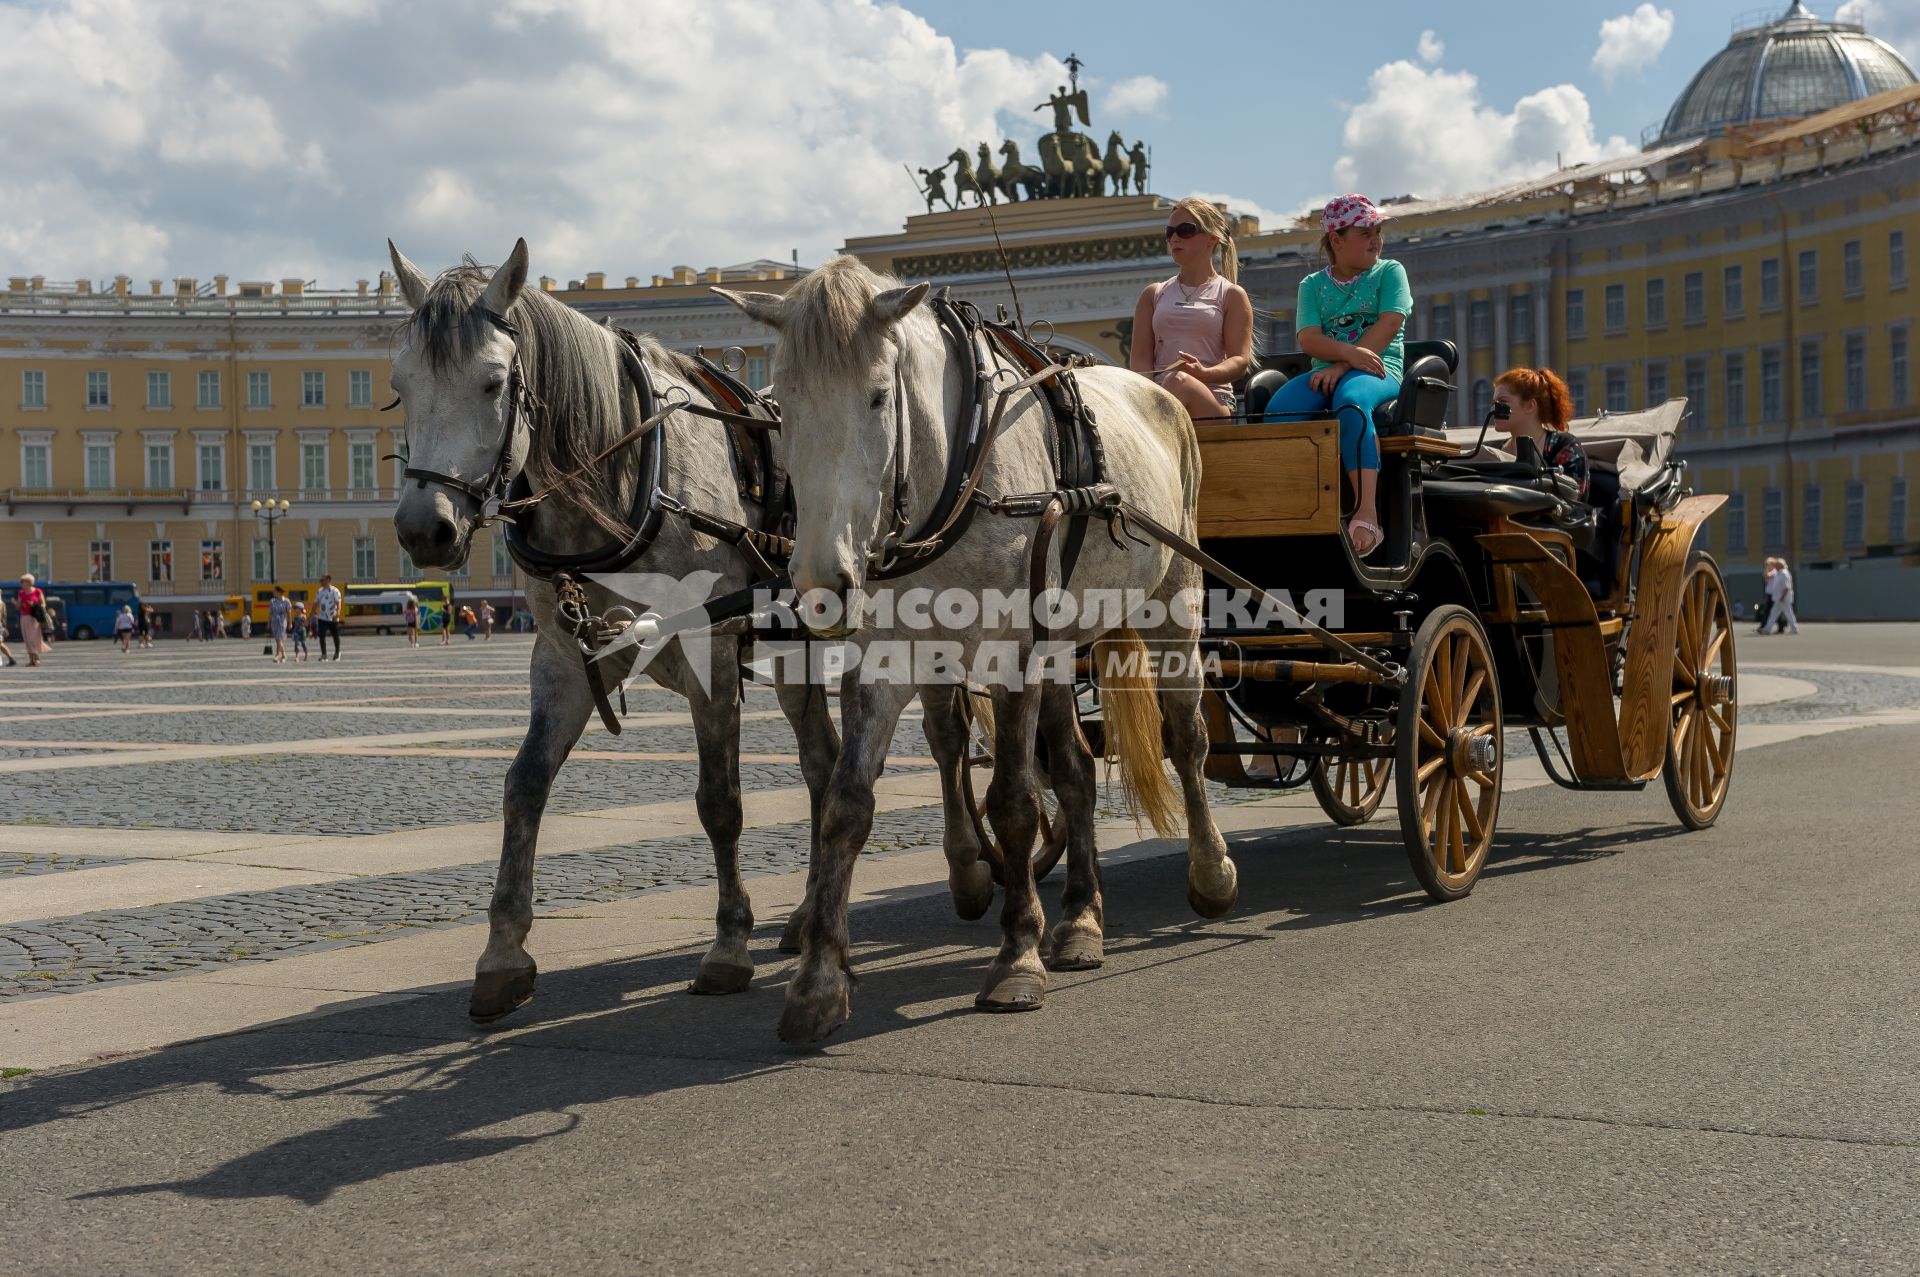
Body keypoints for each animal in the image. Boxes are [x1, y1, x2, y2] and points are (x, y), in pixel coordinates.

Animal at [721, 253, 1244, 1044]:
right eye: (781, 406)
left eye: (879, 397)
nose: (818, 583)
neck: (957, 473)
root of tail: (1155, 388)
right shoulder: (887, 655)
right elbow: (846, 804)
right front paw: (818, 983)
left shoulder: (1013, 652)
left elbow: (1013, 802)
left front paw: (1016, 956)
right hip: (1064, 639)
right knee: (1076, 770)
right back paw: (1081, 920)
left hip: (1174, 600)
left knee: (1184, 738)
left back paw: (1209, 874)